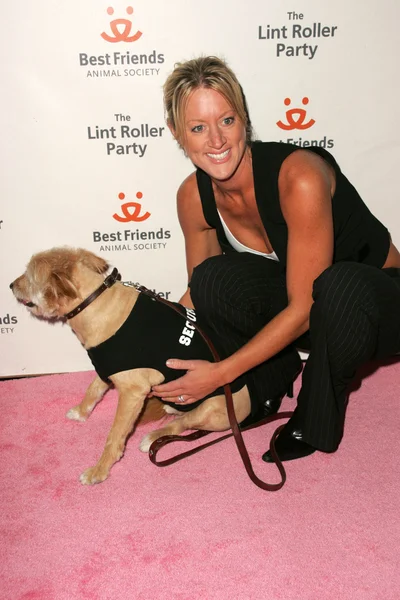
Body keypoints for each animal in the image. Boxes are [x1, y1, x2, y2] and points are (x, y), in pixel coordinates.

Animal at [10, 246, 250, 486]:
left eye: (29, 277)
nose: (11, 285)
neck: (95, 304)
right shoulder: (107, 367)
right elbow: (93, 390)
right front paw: (81, 411)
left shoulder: (132, 392)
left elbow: (115, 434)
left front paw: (99, 470)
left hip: (212, 407)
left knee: (182, 423)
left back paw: (153, 437)